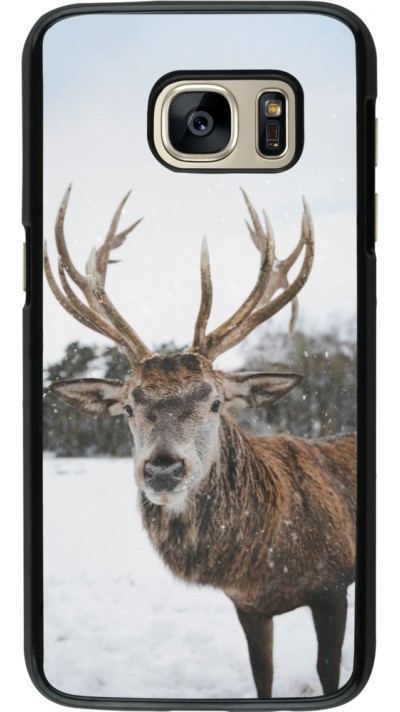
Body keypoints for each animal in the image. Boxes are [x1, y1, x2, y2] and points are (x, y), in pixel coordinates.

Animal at [44, 186, 356, 698]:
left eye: (214, 402)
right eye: (128, 407)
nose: (163, 469)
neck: (266, 563)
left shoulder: (332, 586)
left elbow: (328, 672)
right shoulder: (247, 605)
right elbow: (262, 676)